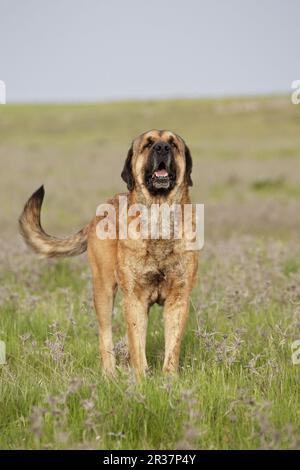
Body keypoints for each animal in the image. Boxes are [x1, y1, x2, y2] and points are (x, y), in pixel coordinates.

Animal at [19, 129, 199, 378]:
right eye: (148, 144)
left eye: (173, 144)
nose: (162, 148)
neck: (158, 216)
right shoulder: (134, 299)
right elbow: (136, 345)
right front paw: (141, 378)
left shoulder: (178, 298)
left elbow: (172, 346)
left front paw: (169, 379)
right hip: (103, 290)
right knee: (105, 336)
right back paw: (110, 374)